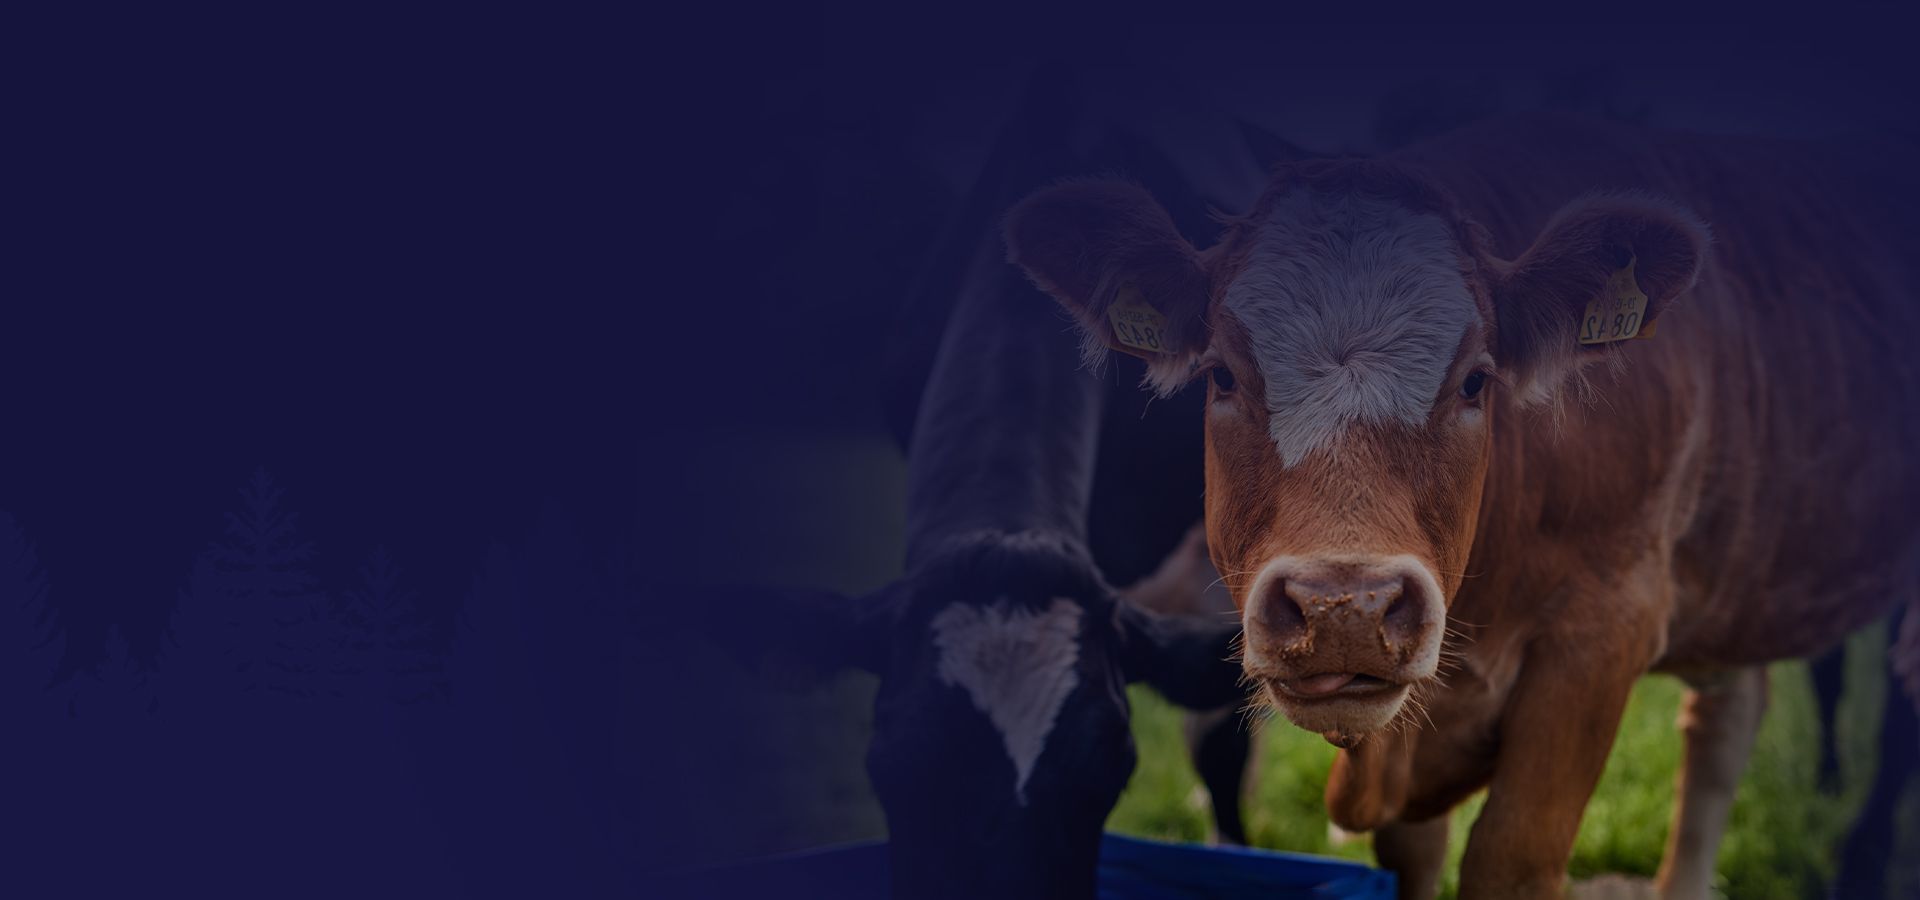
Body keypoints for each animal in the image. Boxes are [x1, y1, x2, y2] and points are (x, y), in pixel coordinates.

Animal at [1005, 111, 1920, 899]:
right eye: (1222, 375)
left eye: (1477, 381)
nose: (1344, 608)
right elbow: (1414, 852)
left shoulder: (1603, 633)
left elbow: (1510, 857)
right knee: (1725, 722)